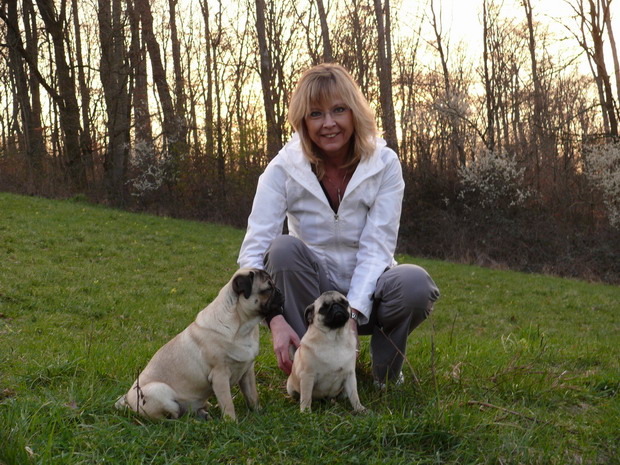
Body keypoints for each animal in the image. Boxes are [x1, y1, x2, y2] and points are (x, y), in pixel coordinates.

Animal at [114, 266, 284, 418]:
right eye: (268, 288)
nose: (280, 292)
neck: (243, 327)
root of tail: (127, 402)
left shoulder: (247, 371)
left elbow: (252, 396)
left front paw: (258, 413)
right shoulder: (220, 376)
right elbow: (228, 404)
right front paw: (232, 423)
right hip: (160, 391)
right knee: (172, 417)